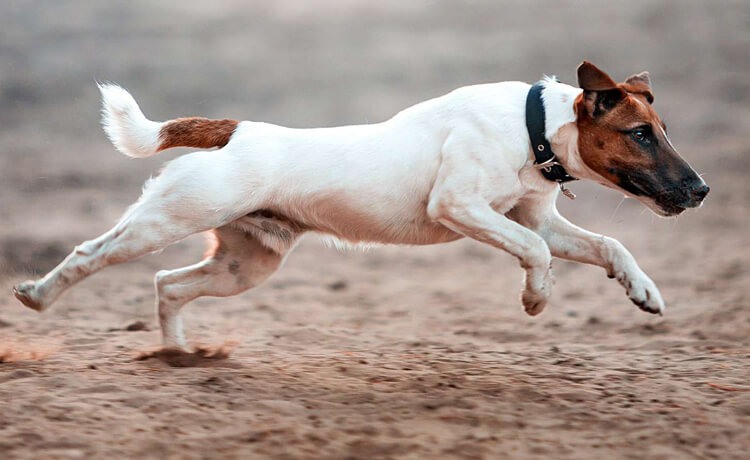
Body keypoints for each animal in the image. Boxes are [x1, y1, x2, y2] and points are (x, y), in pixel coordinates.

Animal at [13, 62, 712, 348]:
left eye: (662, 127)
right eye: (640, 134)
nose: (701, 189)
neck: (532, 127)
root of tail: (231, 130)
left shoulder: (539, 217)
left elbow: (607, 245)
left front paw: (644, 292)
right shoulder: (459, 207)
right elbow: (537, 253)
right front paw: (536, 297)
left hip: (246, 265)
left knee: (167, 284)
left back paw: (178, 354)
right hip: (167, 219)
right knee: (90, 252)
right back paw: (38, 295)